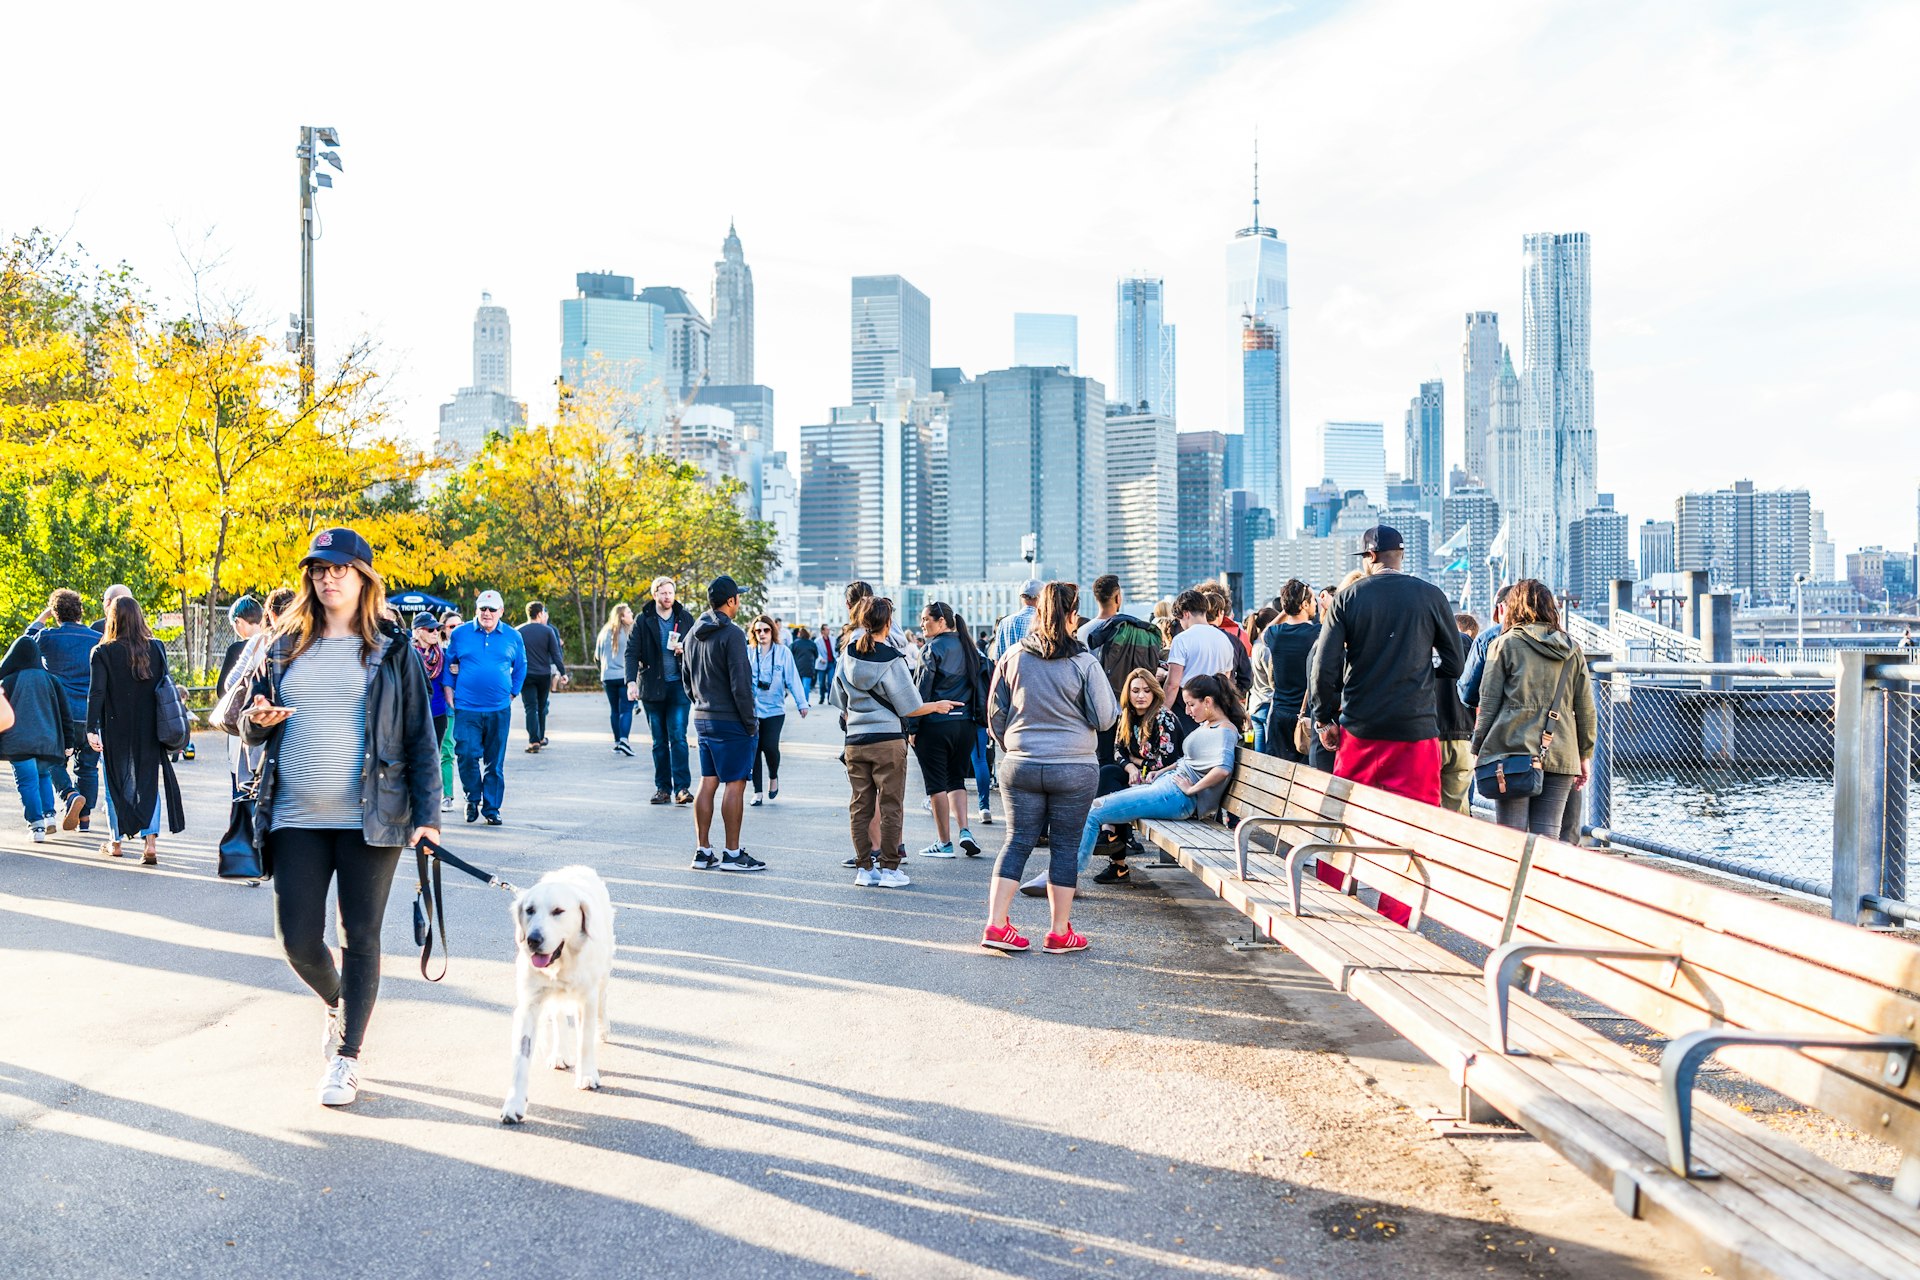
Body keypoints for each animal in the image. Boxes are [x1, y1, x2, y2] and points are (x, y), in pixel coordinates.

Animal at [499, 867, 610, 1128]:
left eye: (558, 911)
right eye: (530, 910)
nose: (533, 940)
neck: (562, 962)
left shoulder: (587, 999)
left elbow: (584, 1041)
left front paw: (587, 1075)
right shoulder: (529, 1004)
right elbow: (521, 1058)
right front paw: (514, 1104)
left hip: (604, 972)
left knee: (603, 1000)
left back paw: (603, 1030)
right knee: (558, 1018)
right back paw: (559, 1054)